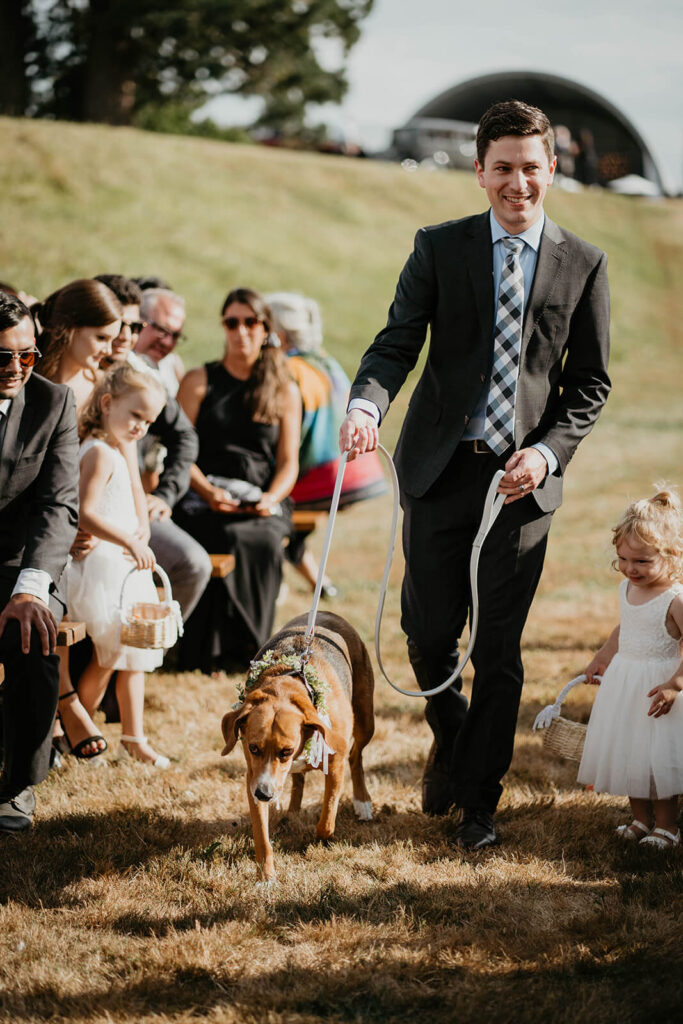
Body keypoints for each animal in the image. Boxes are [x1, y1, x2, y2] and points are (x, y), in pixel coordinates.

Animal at [222, 610, 374, 876]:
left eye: (287, 751)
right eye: (253, 748)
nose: (264, 794)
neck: (286, 685)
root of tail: (327, 612)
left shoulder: (335, 764)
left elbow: (327, 818)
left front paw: (320, 838)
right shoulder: (254, 775)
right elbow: (261, 837)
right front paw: (266, 876)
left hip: (366, 723)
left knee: (356, 756)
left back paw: (362, 801)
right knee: (298, 779)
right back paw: (292, 810)